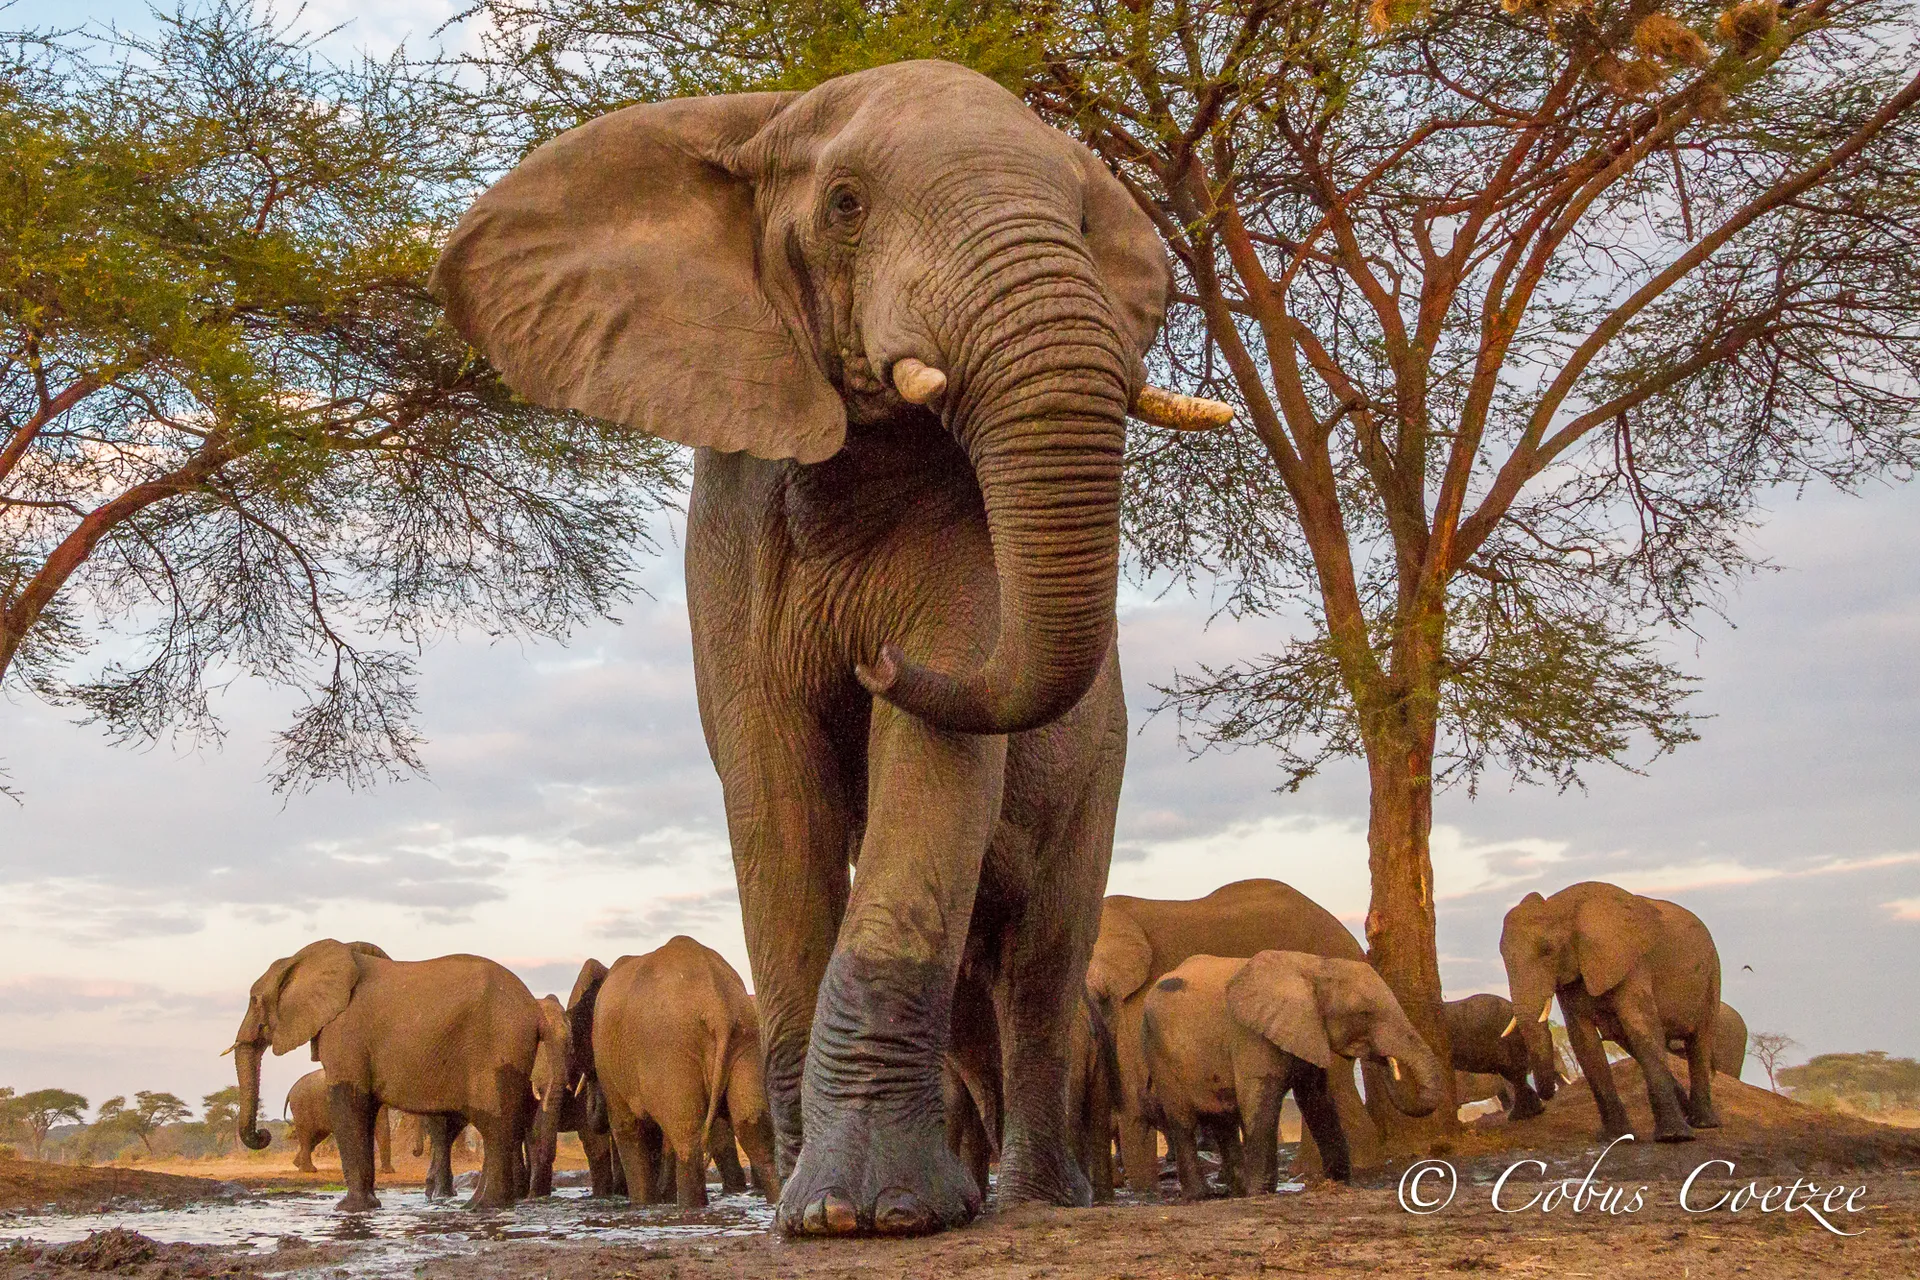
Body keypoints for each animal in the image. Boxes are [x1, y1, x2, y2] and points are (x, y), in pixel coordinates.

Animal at [229, 939, 560, 1210]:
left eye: (254, 1000)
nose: (264, 1134)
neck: (299, 959)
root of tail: (535, 1011)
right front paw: (367, 1206)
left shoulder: (345, 1032)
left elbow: (348, 1104)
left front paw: (349, 1209)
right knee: (504, 1123)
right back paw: (483, 1204)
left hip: (496, 1045)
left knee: (495, 1124)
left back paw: (483, 1206)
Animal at [584, 936, 778, 1209]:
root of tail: (718, 1006)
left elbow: (626, 1128)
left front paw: (644, 1206)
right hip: (746, 1039)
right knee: (755, 1130)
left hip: (671, 1049)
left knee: (688, 1140)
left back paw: (689, 1206)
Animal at [1139, 952, 1445, 1199]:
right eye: (1364, 1014)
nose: (1383, 1060)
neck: (1313, 967)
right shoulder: (1250, 1035)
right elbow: (1260, 1097)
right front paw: (1260, 1193)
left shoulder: (1308, 1029)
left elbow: (1316, 1099)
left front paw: (1338, 1183)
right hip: (1159, 1054)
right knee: (1183, 1121)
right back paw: (1201, 1195)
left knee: (1222, 1118)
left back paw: (1235, 1191)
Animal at [1501, 882, 1723, 1143]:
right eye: (1502, 956)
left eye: (1547, 950)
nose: (1547, 1097)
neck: (1562, 906)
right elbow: (1584, 1042)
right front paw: (1615, 1137)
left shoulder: (1630, 964)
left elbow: (1642, 1027)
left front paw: (1673, 1137)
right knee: (1628, 1043)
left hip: (1711, 974)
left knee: (1700, 1040)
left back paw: (1703, 1123)